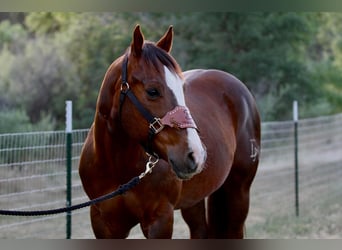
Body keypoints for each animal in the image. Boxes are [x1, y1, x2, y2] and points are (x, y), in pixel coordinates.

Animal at [79, 24, 260, 238]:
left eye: (183, 89)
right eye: (152, 91)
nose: (196, 154)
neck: (117, 167)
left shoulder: (160, 220)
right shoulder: (104, 224)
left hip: (238, 193)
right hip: (195, 200)